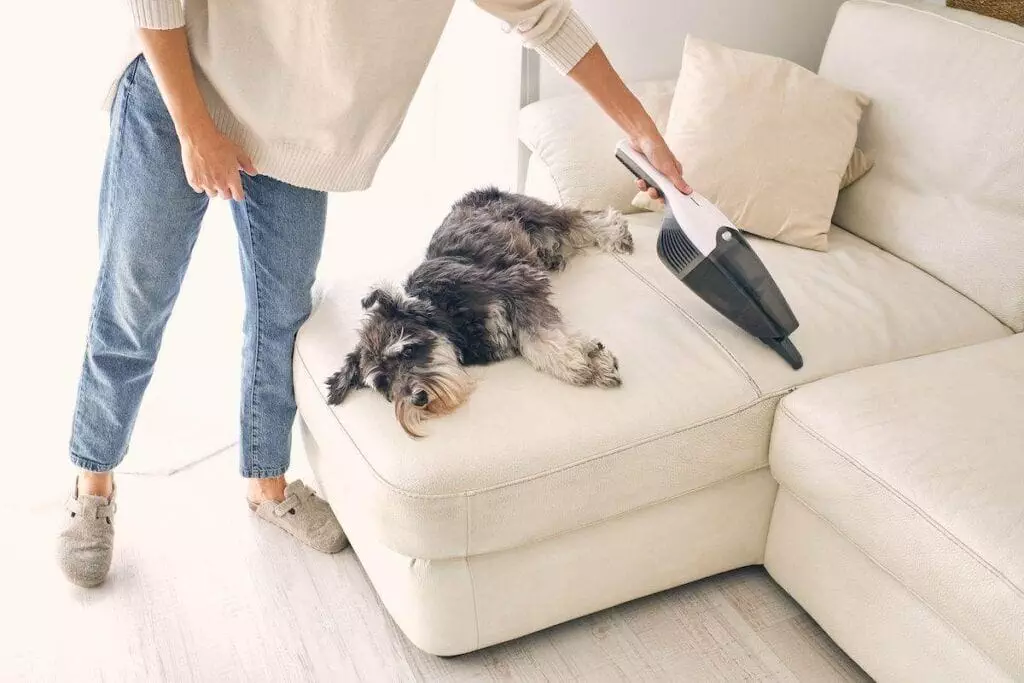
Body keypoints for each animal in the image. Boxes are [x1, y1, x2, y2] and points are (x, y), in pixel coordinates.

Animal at [325, 187, 630, 436]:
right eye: (384, 384)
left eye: (408, 350)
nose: (418, 399)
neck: (444, 314)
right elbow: (538, 342)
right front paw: (591, 359)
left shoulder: (520, 286)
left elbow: (540, 339)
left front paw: (580, 364)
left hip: (539, 217)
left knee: (579, 221)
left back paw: (614, 231)